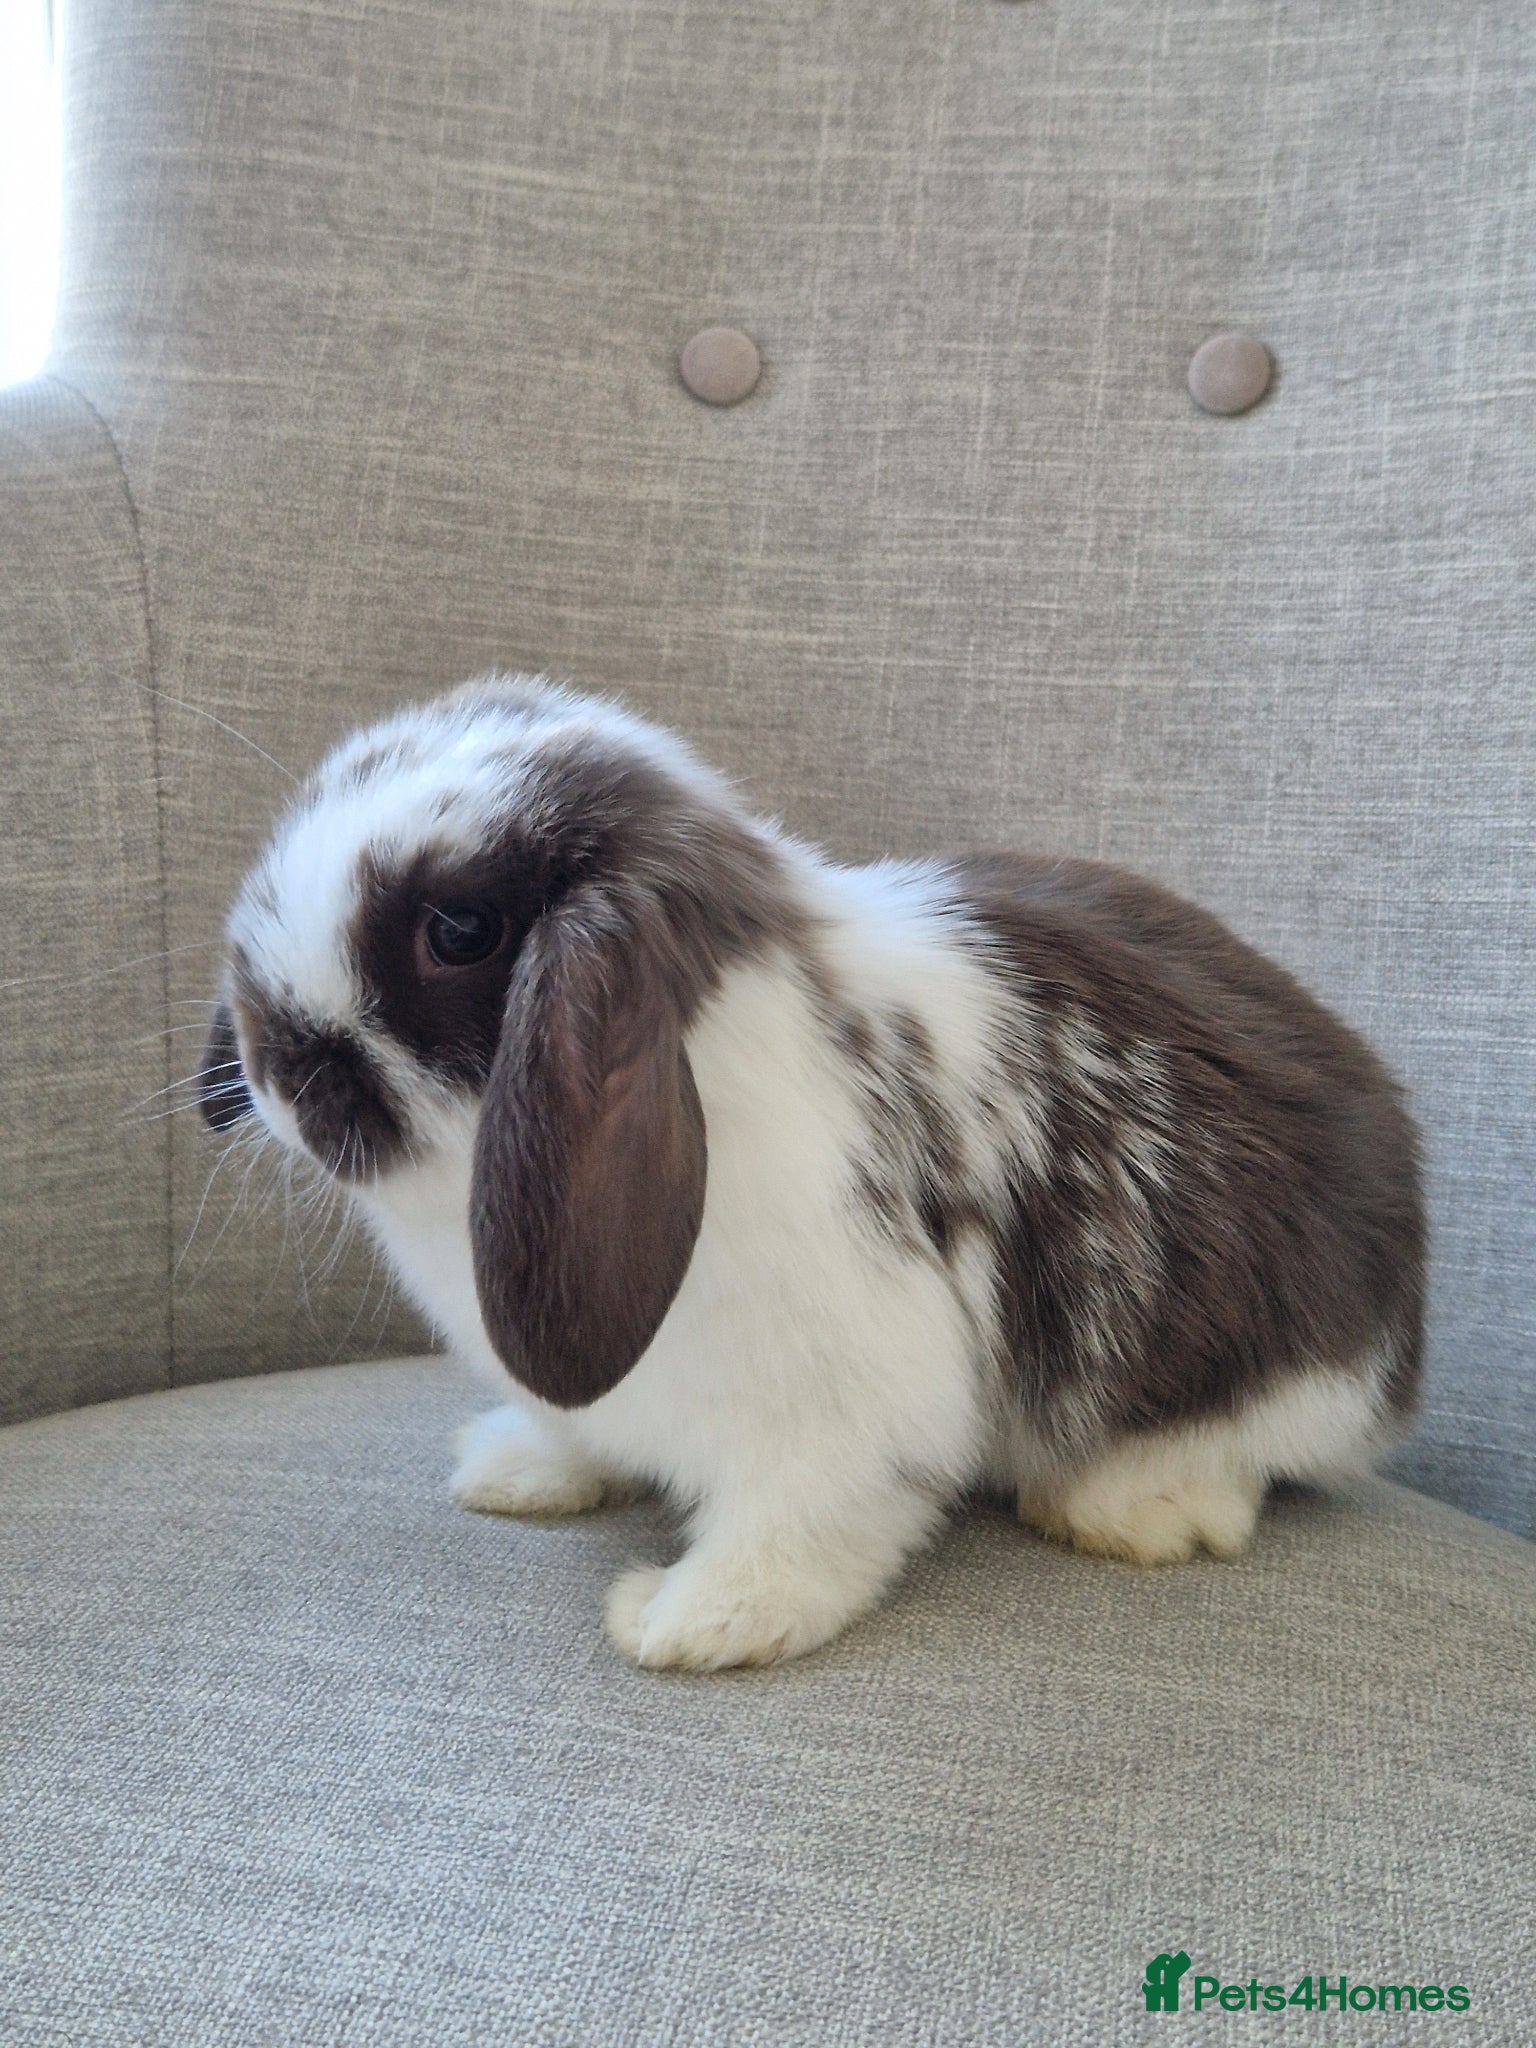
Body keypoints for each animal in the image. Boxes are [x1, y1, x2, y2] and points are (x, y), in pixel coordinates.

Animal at [200, 673, 1425, 1671]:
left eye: (458, 930)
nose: (274, 1069)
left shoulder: (843, 1403)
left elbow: (797, 1526)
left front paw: (690, 1621)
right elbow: (576, 1430)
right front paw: (513, 1468)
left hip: (1263, 1367)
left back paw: (1133, 1509)